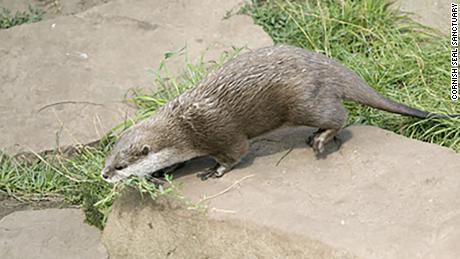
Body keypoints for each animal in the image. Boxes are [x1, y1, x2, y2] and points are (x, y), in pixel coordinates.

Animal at [101, 44, 460, 183]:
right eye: (109, 159)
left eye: (121, 165)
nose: (104, 175)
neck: (184, 128)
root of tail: (330, 65)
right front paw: (164, 171)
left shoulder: (219, 132)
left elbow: (236, 153)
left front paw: (215, 170)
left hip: (303, 102)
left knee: (339, 116)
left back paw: (320, 139)